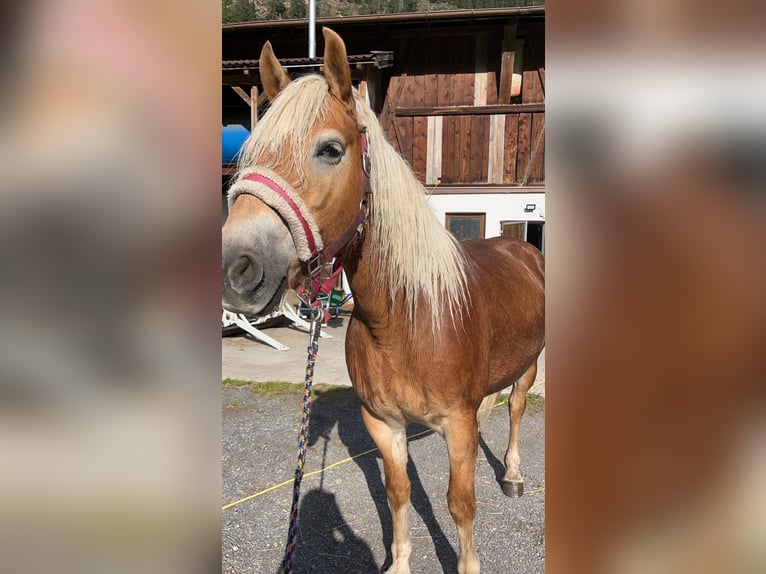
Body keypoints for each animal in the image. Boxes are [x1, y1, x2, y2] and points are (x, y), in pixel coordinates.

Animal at [222, 30, 544, 574]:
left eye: (331, 149)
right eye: (249, 154)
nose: (236, 267)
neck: (406, 322)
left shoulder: (457, 426)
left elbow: (460, 504)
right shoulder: (384, 426)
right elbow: (398, 492)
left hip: (530, 364)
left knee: (518, 408)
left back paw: (514, 475)